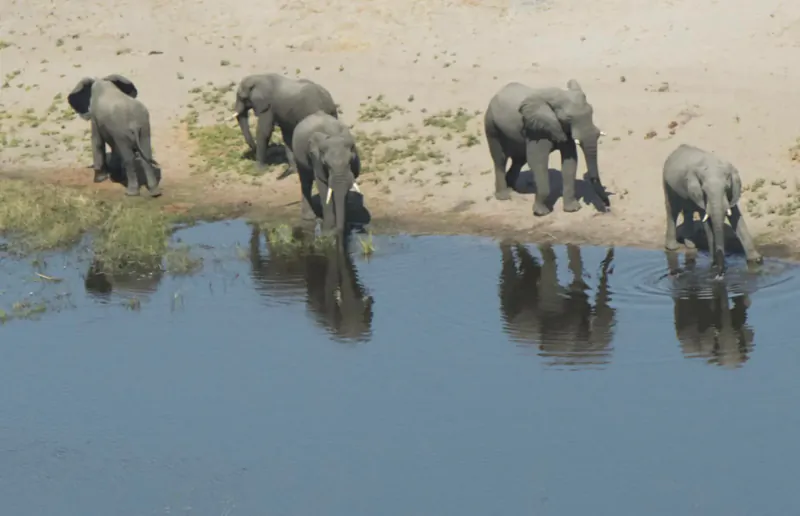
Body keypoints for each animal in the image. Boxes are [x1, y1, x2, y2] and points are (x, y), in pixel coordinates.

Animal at [483, 80, 611, 216]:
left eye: (591, 112)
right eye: (568, 118)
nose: (607, 206)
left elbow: (570, 161)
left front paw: (572, 209)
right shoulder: (537, 130)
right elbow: (537, 161)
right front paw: (541, 213)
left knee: (519, 159)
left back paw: (512, 188)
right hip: (491, 125)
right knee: (500, 159)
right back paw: (504, 196)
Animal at [663, 144, 763, 276]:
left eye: (726, 188)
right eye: (704, 190)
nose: (720, 271)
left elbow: (736, 216)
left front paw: (756, 260)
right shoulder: (699, 193)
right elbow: (707, 222)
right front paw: (714, 265)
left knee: (688, 210)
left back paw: (690, 245)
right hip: (667, 182)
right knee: (673, 210)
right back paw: (673, 247)